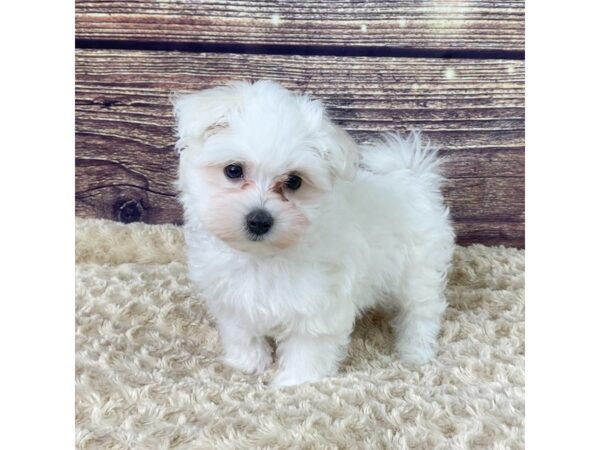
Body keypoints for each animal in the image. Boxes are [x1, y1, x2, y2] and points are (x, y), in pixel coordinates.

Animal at [175, 81, 454, 386]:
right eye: (233, 170)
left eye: (294, 181)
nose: (259, 220)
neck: (263, 257)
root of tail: (414, 179)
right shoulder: (231, 299)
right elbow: (242, 334)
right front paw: (247, 364)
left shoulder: (318, 305)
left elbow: (307, 346)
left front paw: (296, 382)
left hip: (419, 271)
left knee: (422, 311)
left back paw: (416, 351)